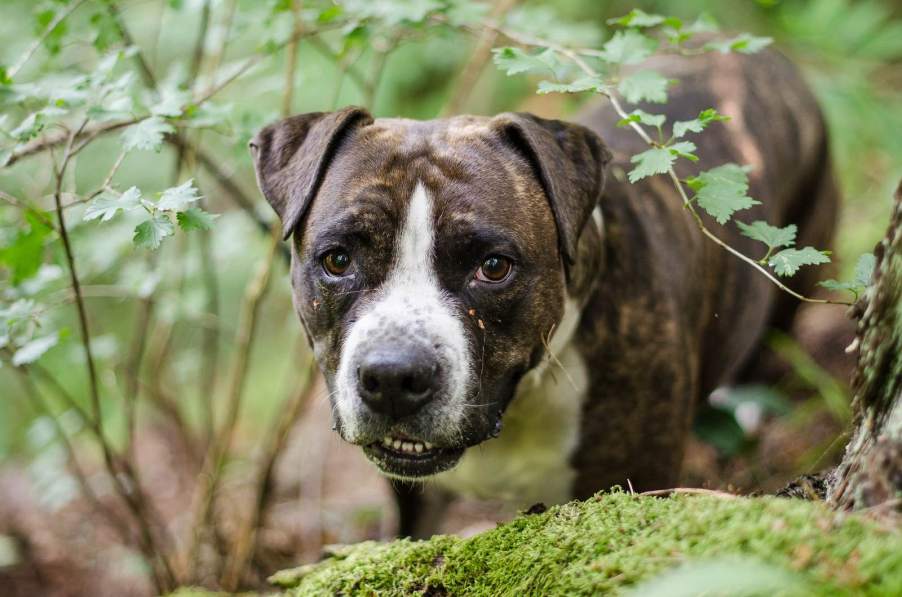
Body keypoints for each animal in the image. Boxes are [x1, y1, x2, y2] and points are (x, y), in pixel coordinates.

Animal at [249, 47, 840, 536]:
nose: (394, 376)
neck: (519, 403)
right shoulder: (414, 497)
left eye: (493, 267)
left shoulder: (637, 482)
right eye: (338, 260)